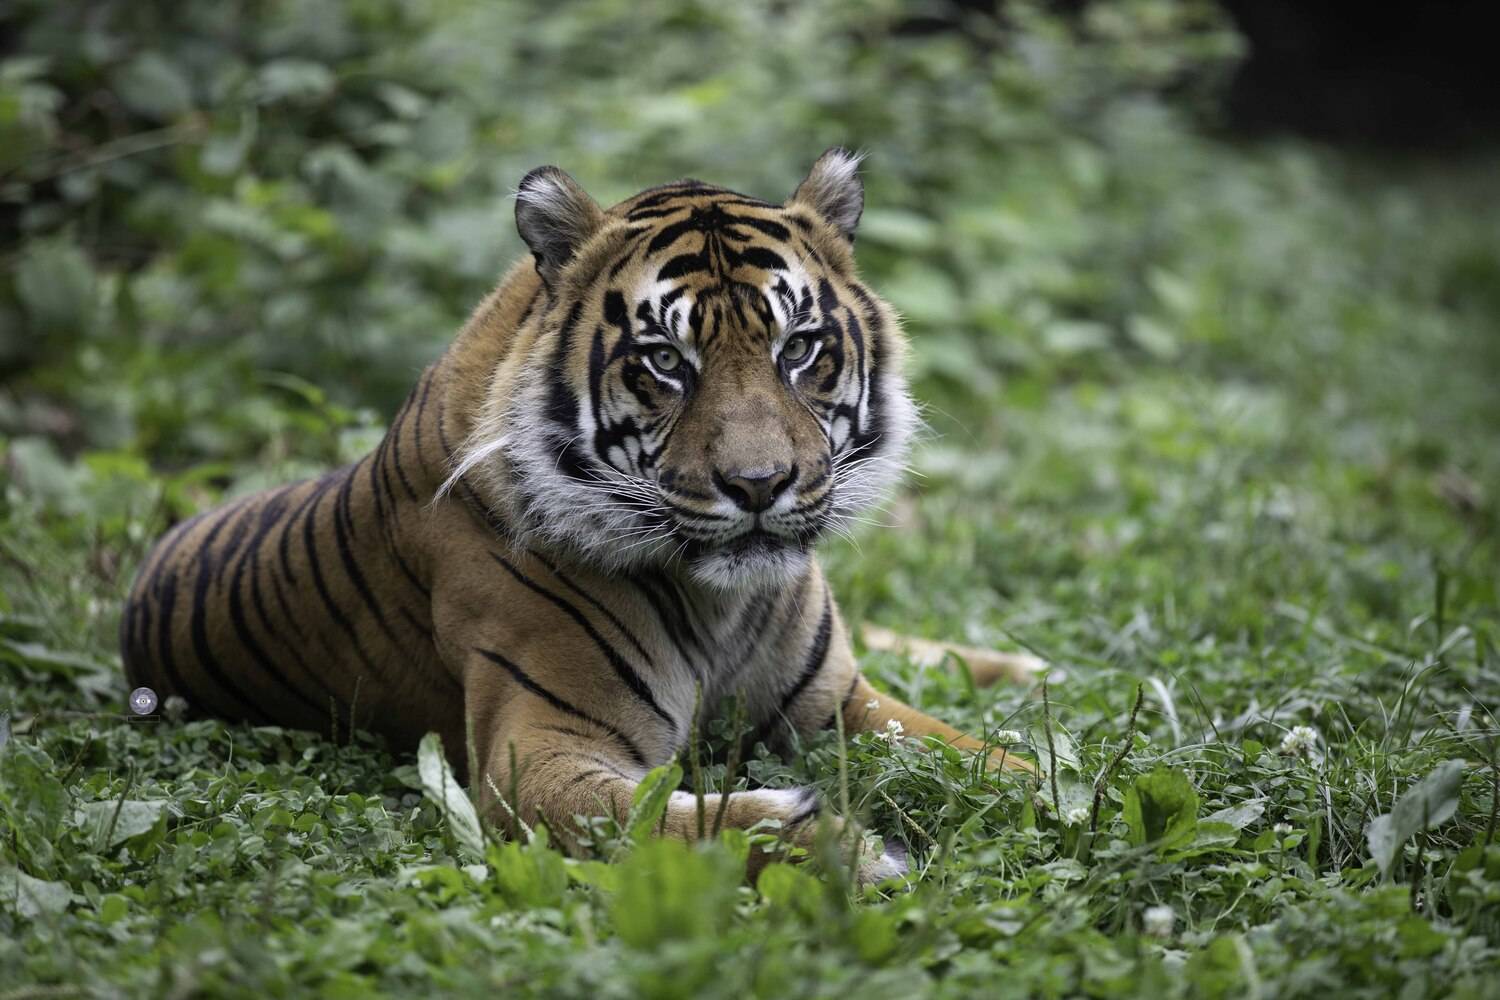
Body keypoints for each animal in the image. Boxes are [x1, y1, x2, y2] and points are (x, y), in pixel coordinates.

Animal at [120, 150, 1043, 884]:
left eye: (799, 348)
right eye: (666, 361)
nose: (758, 484)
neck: (722, 601)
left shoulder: (840, 705)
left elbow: (992, 758)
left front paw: (1048, 772)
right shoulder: (534, 755)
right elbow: (686, 819)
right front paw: (839, 846)